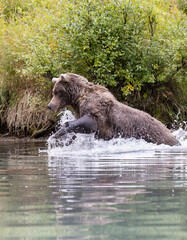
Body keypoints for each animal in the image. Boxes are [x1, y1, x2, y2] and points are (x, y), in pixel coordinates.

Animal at [47, 72, 180, 145]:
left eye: (57, 92)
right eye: (54, 92)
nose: (49, 105)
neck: (78, 99)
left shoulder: (97, 109)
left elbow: (92, 121)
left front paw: (57, 134)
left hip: (154, 134)